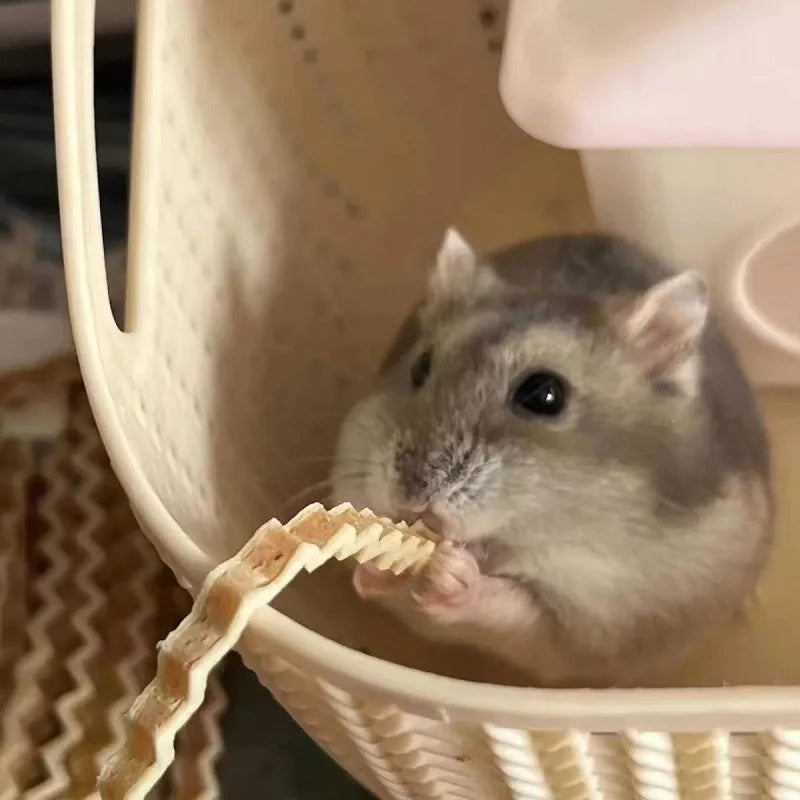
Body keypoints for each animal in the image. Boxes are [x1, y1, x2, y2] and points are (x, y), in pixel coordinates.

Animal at [332, 229, 772, 686]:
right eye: (420, 366)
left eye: (545, 395)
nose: (411, 496)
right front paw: (379, 566)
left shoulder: (599, 626)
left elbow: (518, 611)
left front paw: (448, 573)